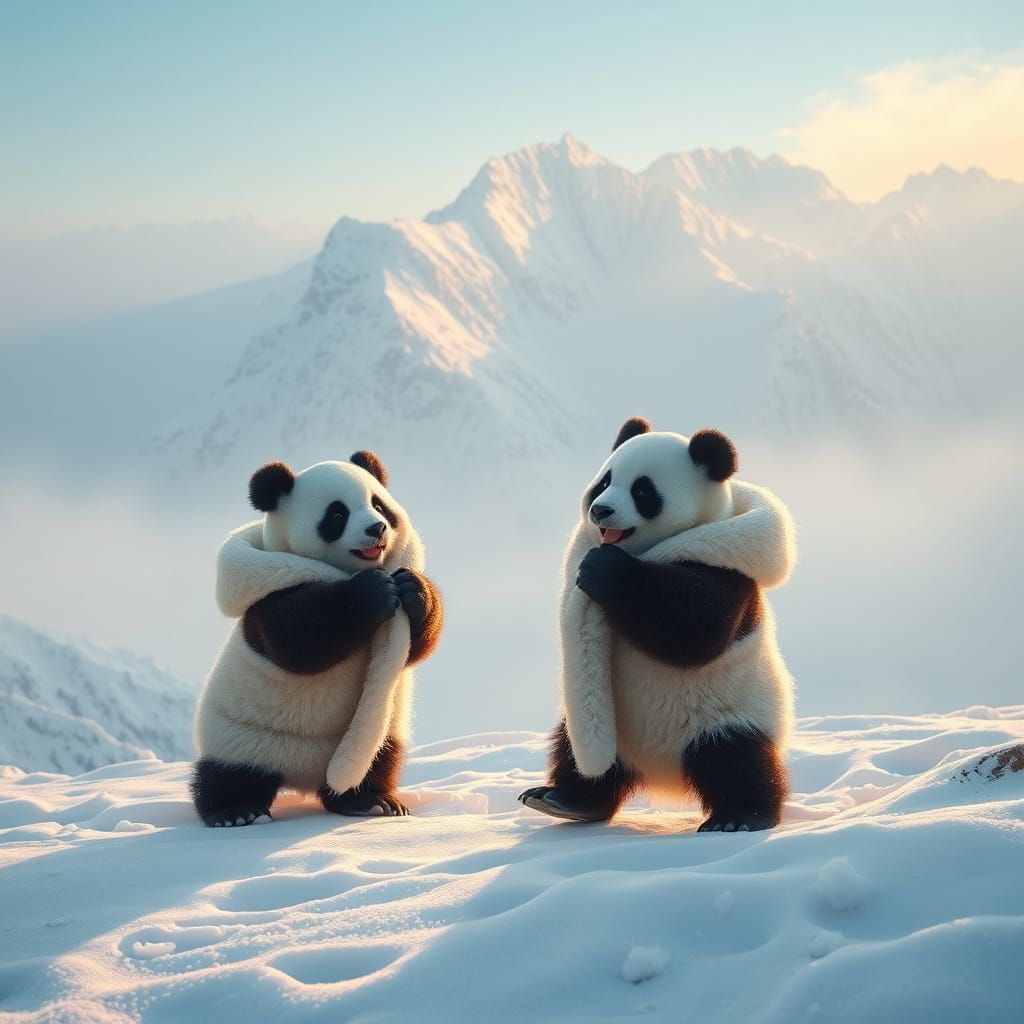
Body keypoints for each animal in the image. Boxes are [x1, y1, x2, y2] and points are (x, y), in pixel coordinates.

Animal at [190, 451, 443, 827]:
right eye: (338, 514)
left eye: (379, 505)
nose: (376, 528)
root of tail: (303, 776)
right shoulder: (271, 595)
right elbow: (298, 640)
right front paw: (372, 592)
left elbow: (415, 646)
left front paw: (413, 590)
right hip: (240, 734)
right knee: (229, 774)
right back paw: (237, 811)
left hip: (382, 732)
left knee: (378, 760)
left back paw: (372, 801)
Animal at [519, 417, 796, 832]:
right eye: (604, 481)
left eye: (643, 491)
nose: (600, 510)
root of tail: (660, 773)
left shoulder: (726, 568)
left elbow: (694, 631)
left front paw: (604, 570)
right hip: (613, 726)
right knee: (574, 751)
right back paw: (561, 798)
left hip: (731, 711)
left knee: (735, 759)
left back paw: (738, 817)